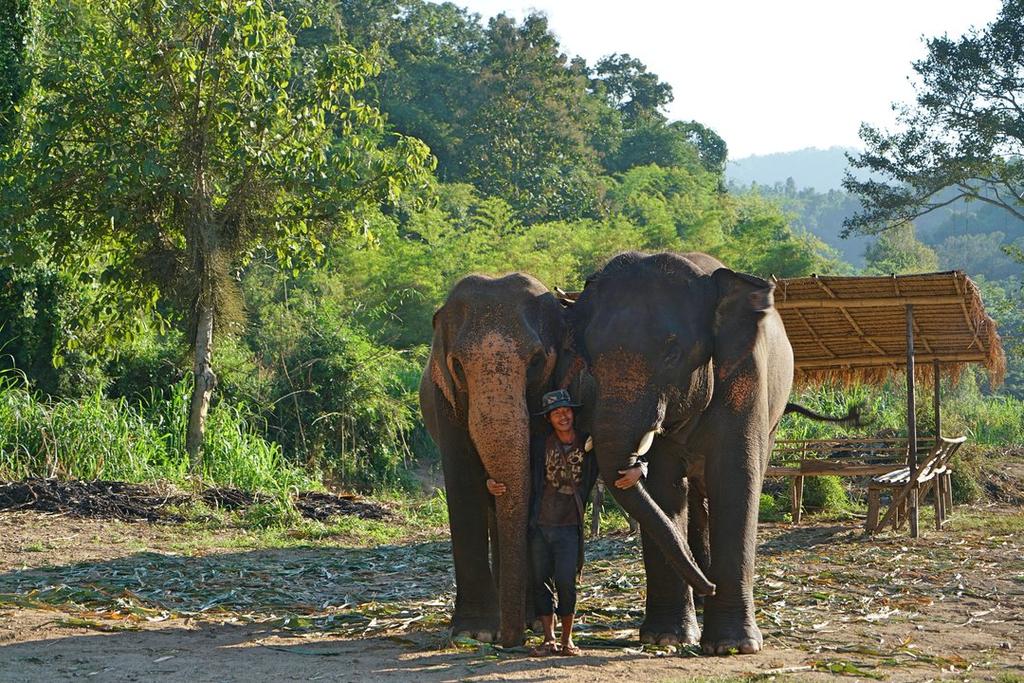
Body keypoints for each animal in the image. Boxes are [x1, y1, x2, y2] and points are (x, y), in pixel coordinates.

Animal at [419, 272, 589, 647]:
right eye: (457, 365)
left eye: (537, 361)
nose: (508, 642)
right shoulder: (445, 398)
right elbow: (463, 483)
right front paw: (475, 632)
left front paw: (526, 623)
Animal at [569, 251, 794, 655]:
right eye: (590, 356)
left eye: (673, 353)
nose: (711, 585)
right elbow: (664, 491)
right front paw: (666, 638)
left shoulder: (745, 379)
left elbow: (736, 482)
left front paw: (733, 645)